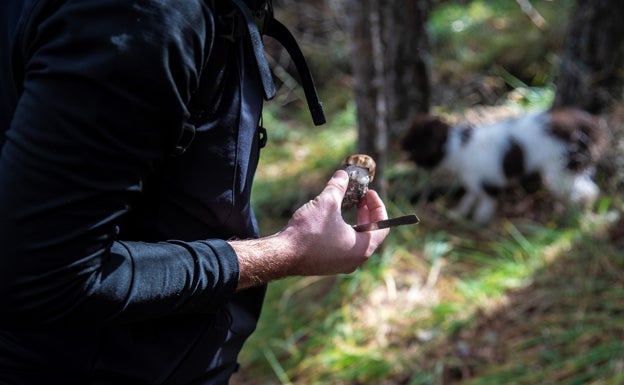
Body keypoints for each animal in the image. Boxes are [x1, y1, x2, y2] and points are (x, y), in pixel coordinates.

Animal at [402, 107, 608, 222]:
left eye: (414, 146)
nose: (400, 146)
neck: (458, 148)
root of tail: (587, 122)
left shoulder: (487, 183)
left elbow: (486, 202)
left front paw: (480, 219)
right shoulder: (473, 182)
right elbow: (469, 197)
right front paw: (458, 214)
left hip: (560, 168)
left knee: (583, 190)